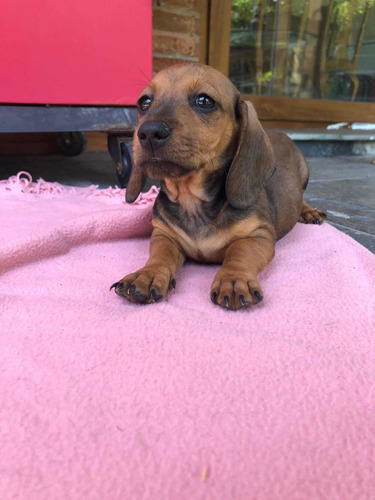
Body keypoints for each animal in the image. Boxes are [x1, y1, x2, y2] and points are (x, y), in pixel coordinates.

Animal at [109, 62, 326, 308]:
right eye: (144, 102)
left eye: (204, 101)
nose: (148, 132)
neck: (192, 201)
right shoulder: (163, 235)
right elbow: (160, 255)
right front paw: (147, 274)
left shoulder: (258, 235)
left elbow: (239, 252)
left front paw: (233, 279)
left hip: (304, 173)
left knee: (302, 196)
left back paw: (309, 212)